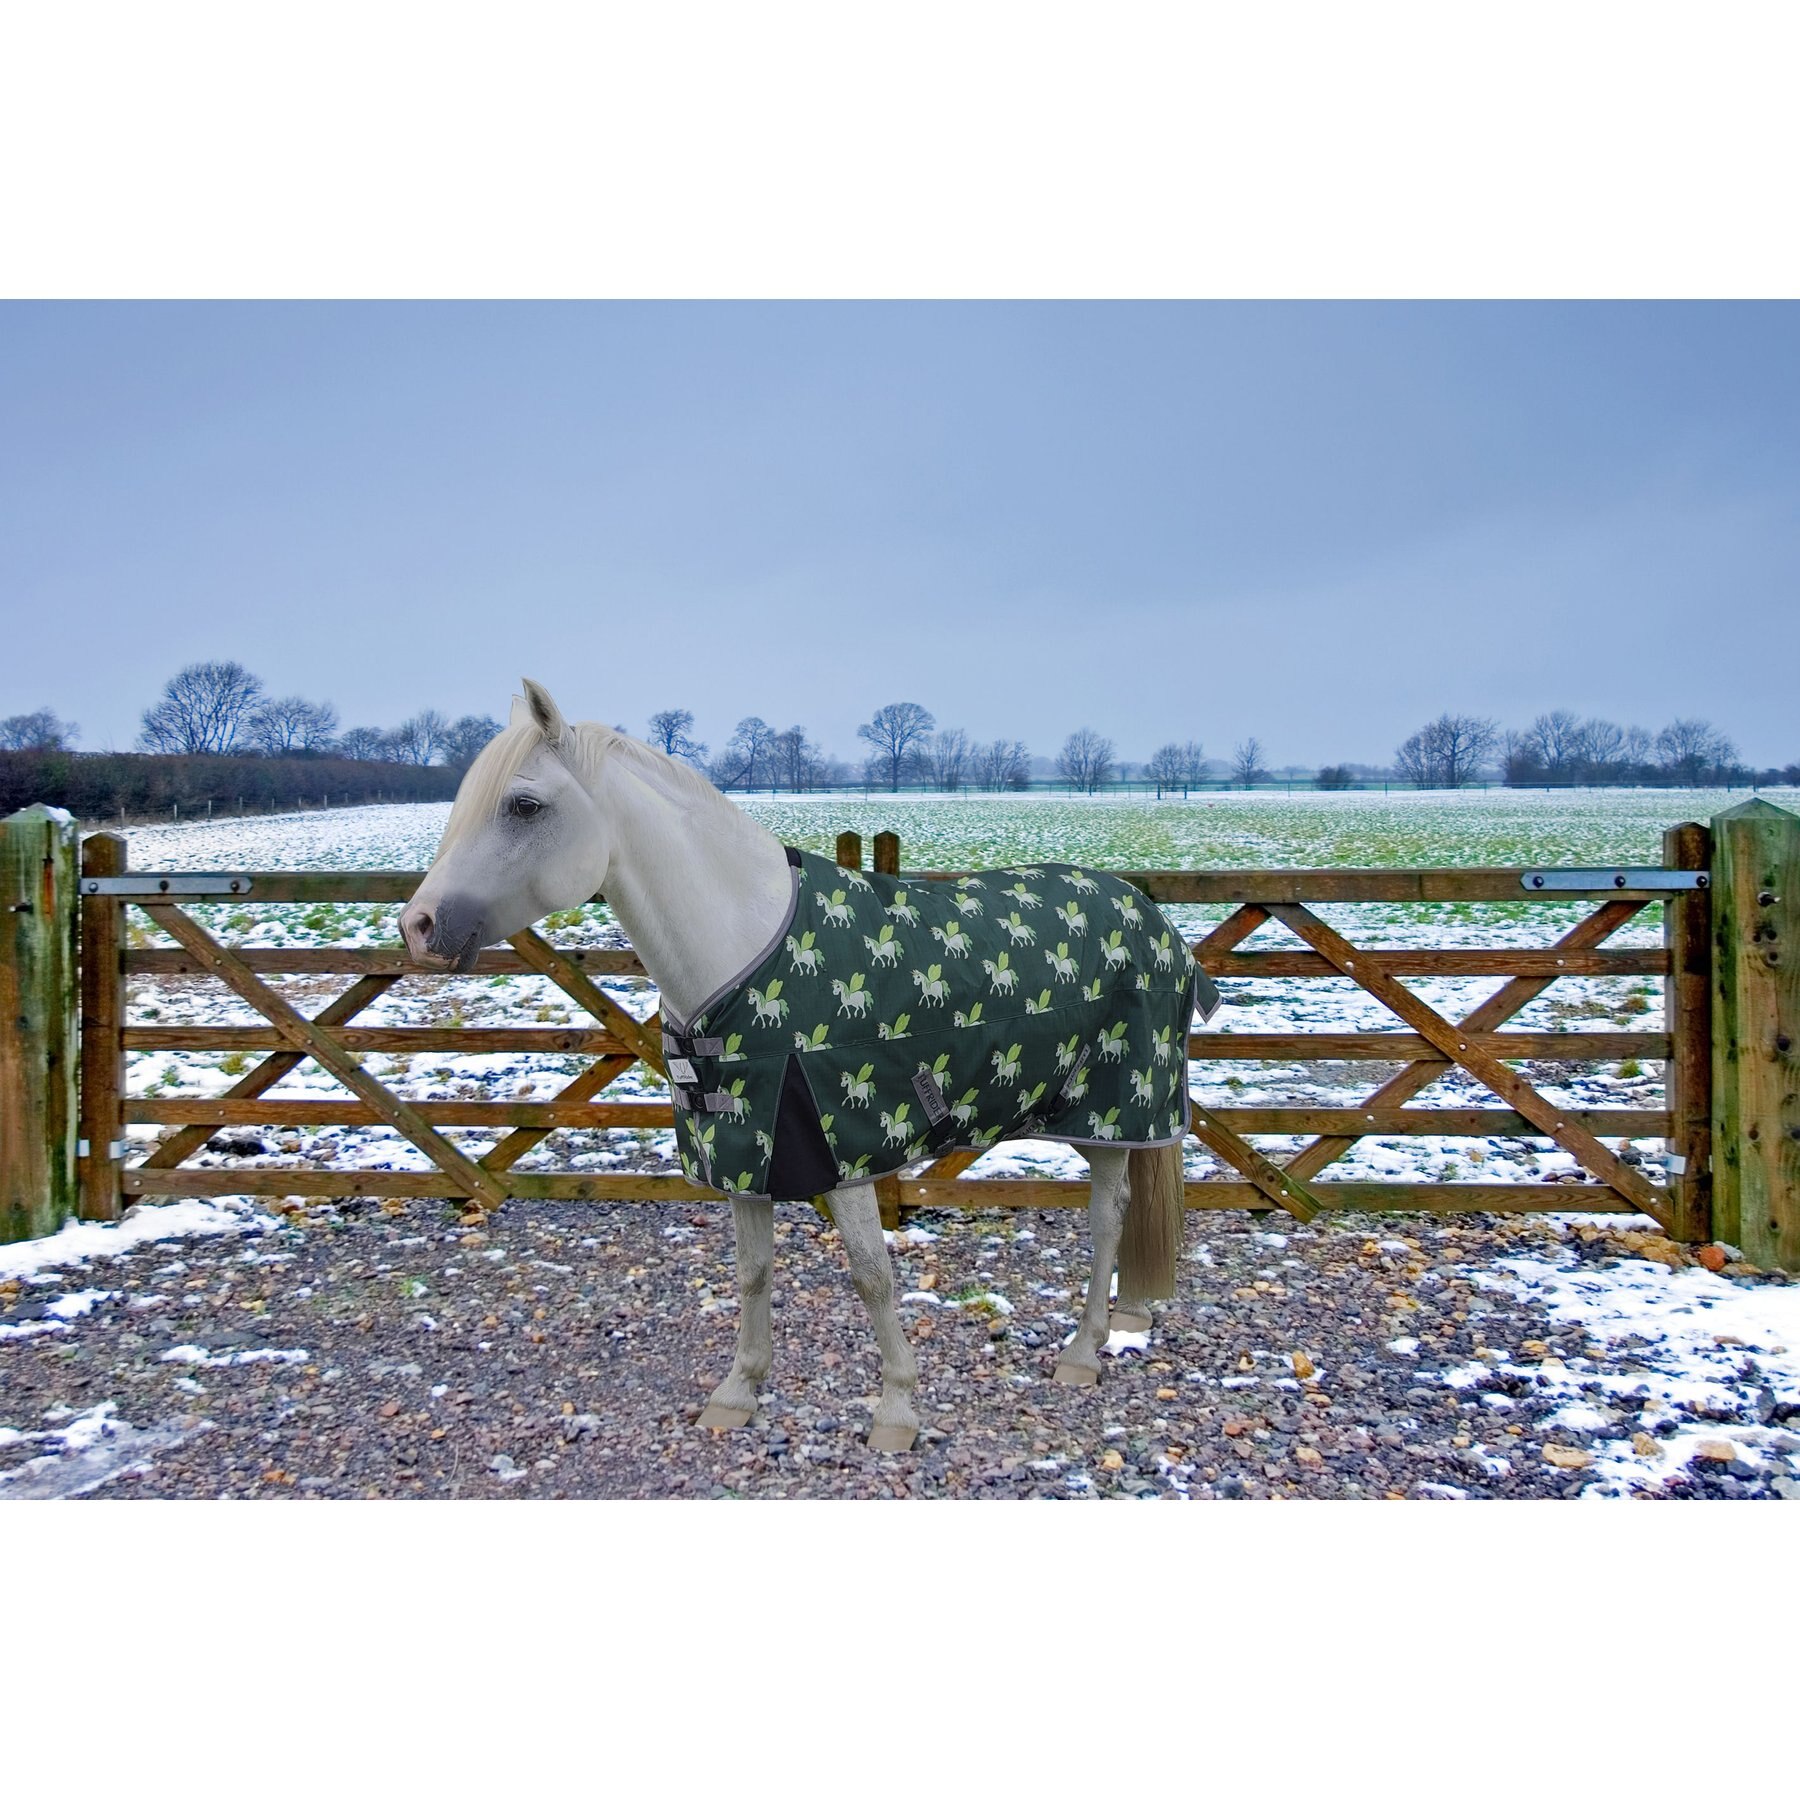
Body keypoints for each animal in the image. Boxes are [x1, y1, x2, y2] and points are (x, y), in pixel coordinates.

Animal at [401, 680, 1201, 1454]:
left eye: (523, 804)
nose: (419, 926)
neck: (744, 952)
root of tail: (1154, 919)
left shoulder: (843, 1154)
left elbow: (872, 1276)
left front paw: (897, 1411)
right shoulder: (745, 1152)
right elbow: (753, 1272)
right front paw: (738, 1394)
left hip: (1116, 1112)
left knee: (1105, 1219)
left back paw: (1082, 1353)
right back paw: (1116, 1329)